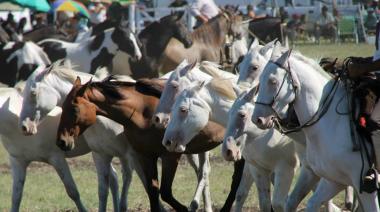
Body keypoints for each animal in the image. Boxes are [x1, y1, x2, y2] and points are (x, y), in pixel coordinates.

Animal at [56, 77, 242, 212]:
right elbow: (153, 191)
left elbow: (165, 192)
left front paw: (184, 208)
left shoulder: (170, 155)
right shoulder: (144, 156)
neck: (143, 112)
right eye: (62, 107)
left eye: (74, 109)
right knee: (205, 173)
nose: (61, 141)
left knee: (234, 179)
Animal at [252, 42, 380, 211]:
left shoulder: (365, 187)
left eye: (273, 81)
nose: (257, 119)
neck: (332, 123)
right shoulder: (333, 180)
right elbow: (309, 202)